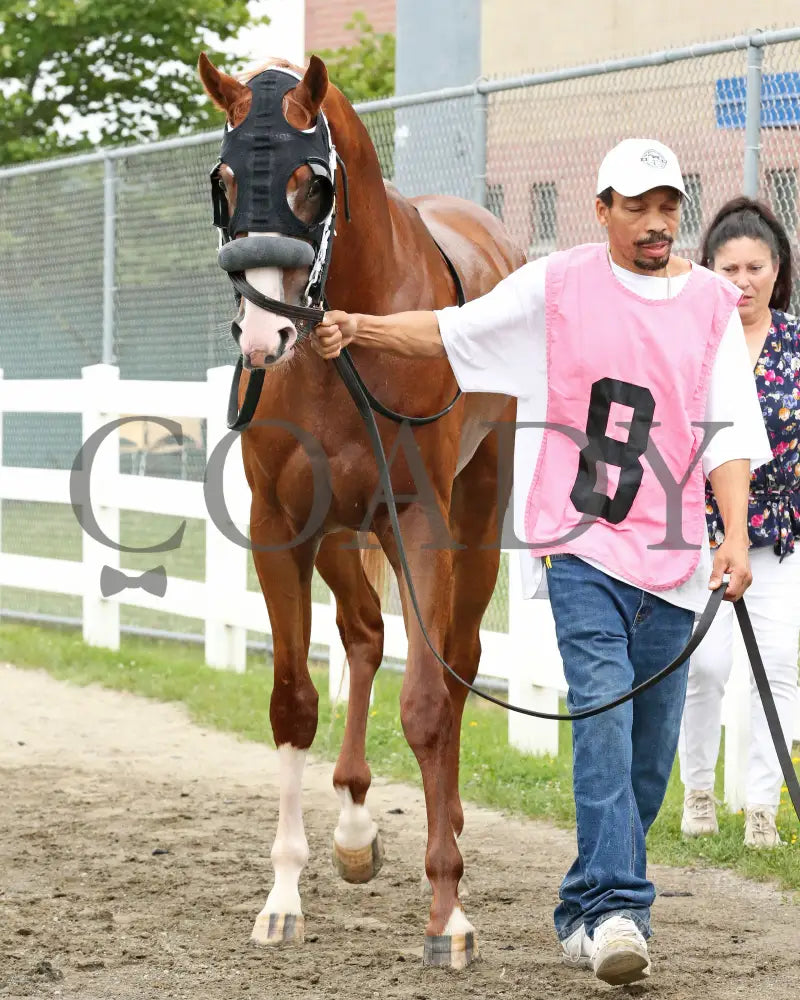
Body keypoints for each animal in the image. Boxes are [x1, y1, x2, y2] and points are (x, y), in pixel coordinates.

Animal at [199, 54, 524, 968]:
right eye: (223, 180)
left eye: (312, 182)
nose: (263, 337)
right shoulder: (281, 528)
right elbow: (292, 701)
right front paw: (282, 897)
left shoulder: (418, 520)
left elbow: (427, 705)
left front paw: (448, 912)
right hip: (342, 529)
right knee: (366, 633)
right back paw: (351, 826)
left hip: (475, 517)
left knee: (456, 661)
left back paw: (443, 833)